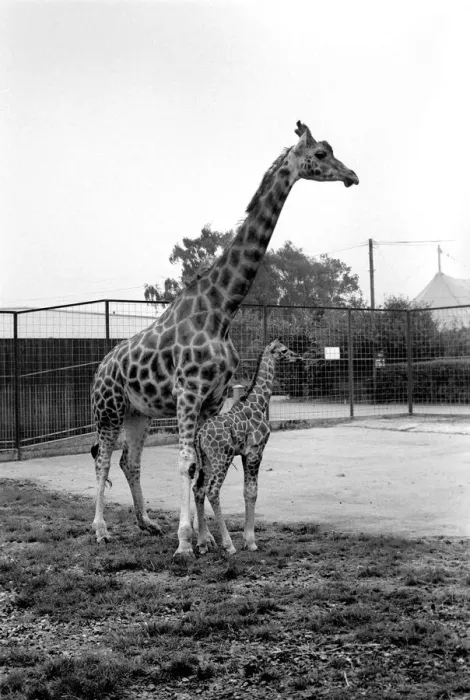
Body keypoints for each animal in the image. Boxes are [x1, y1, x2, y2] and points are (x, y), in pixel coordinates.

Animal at [193, 339, 301, 555]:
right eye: (284, 350)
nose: (297, 357)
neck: (259, 404)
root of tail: (200, 434)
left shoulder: (244, 454)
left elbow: (246, 491)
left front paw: (246, 538)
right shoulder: (255, 451)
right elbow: (252, 492)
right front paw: (250, 542)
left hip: (206, 460)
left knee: (198, 489)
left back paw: (202, 544)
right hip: (222, 458)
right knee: (212, 490)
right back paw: (228, 545)